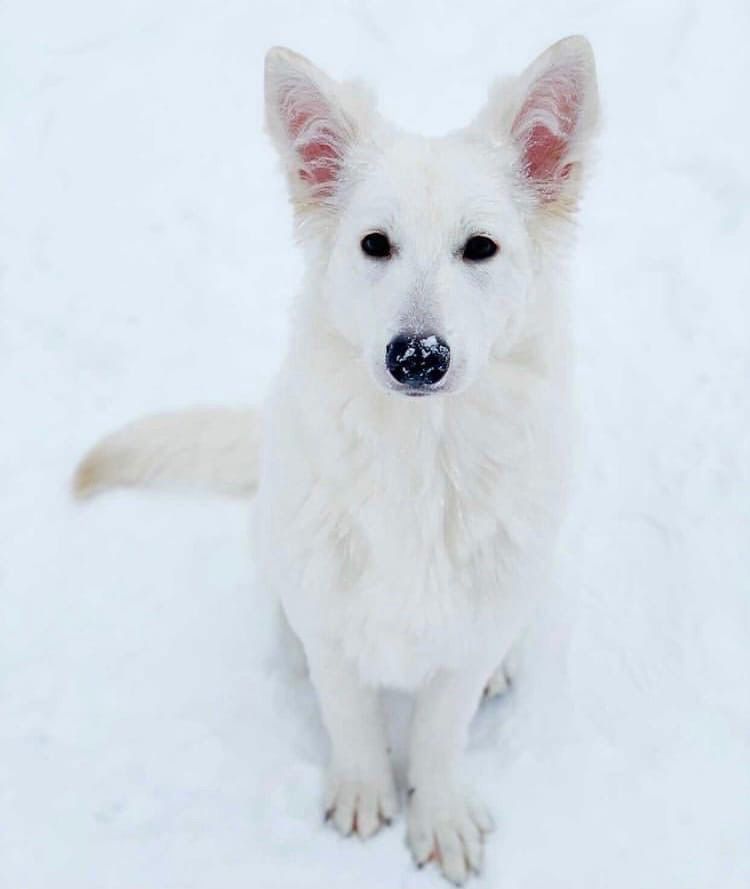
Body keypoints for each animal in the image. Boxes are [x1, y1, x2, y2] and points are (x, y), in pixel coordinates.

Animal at [76, 38, 604, 884]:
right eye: (374, 244)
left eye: (480, 248)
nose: (417, 355)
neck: (420, 463)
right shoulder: (329, 622)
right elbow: (350, 714)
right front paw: (364, 790)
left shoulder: (465, 637)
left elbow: (439, 732)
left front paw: (437, 813)